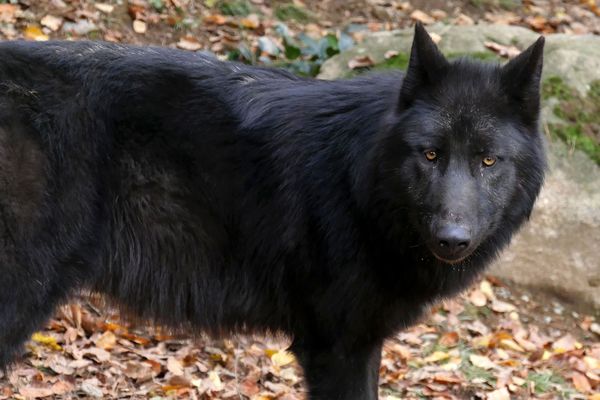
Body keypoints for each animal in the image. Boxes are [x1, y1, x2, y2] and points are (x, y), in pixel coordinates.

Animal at [0, 25, 544, 400]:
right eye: (430, 155)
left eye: (488, 160)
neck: (360, 181)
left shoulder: (358, 344)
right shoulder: (338, 348)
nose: (453, 238)